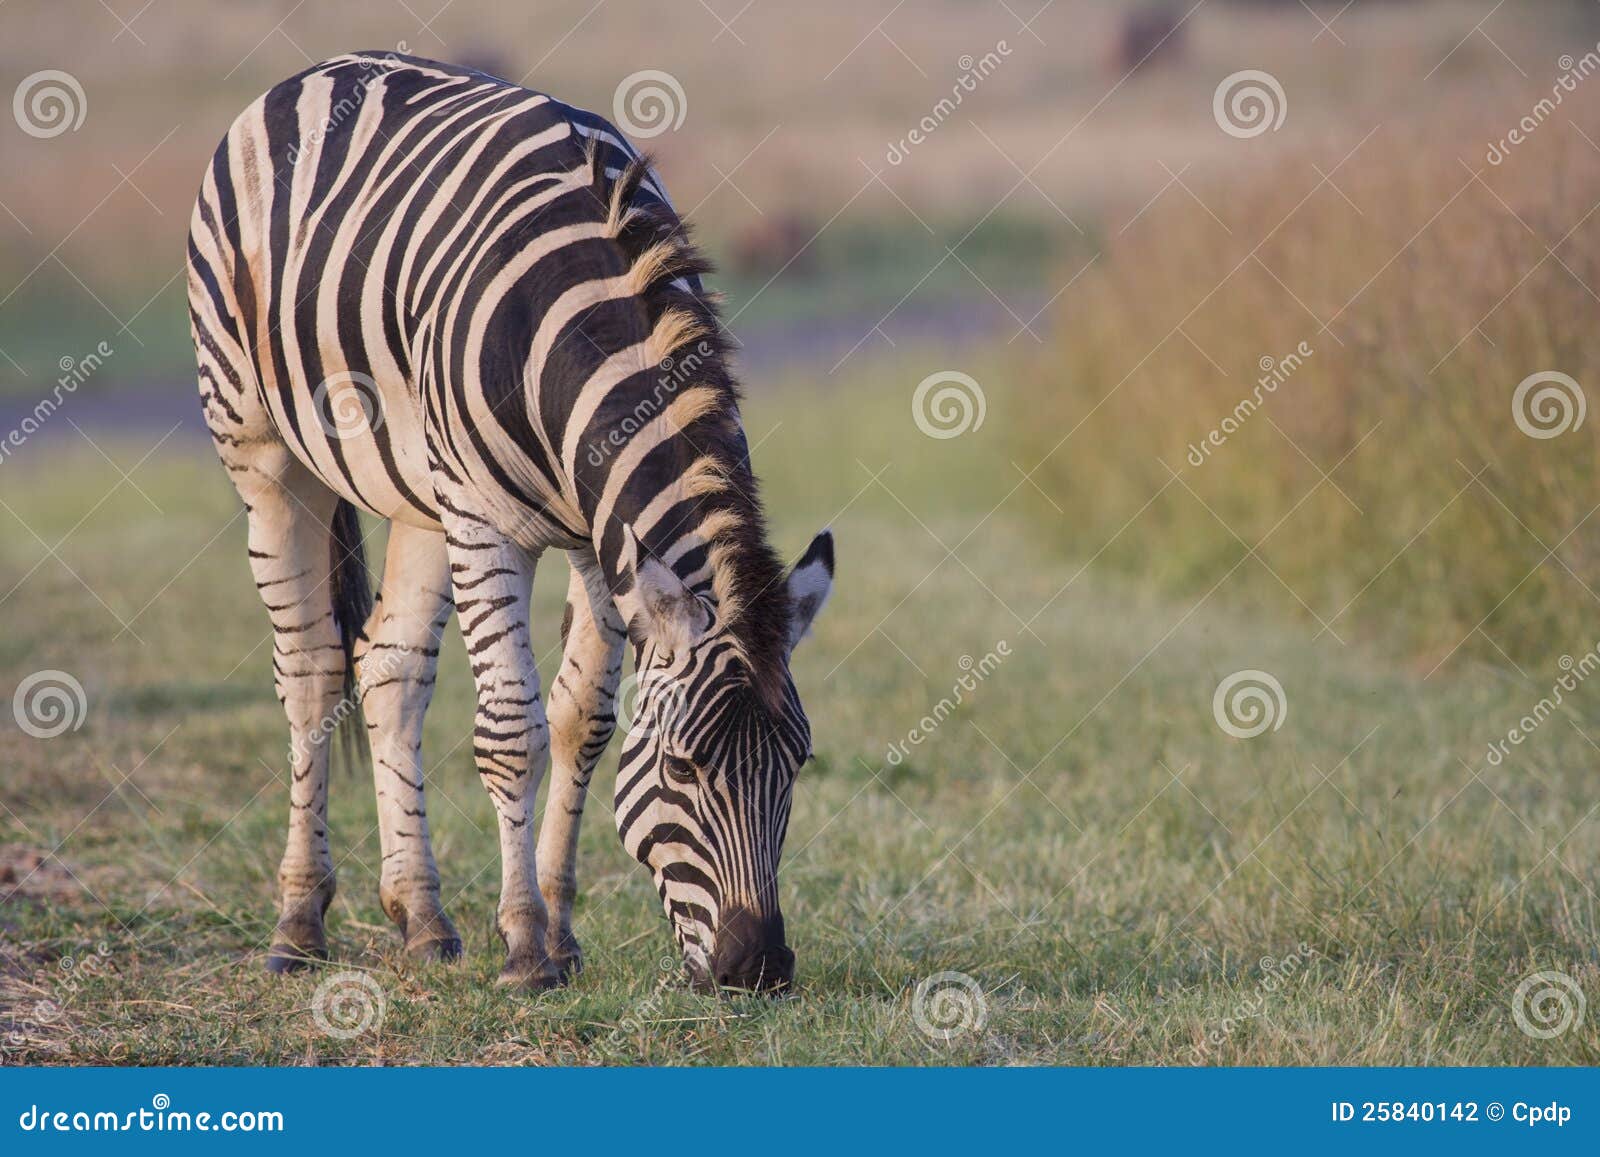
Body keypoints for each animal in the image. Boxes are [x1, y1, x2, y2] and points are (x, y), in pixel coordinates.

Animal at [184, 52, 838, 998]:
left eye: (798, 761)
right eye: (684, 765)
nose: (758, 968)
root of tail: (321, 70)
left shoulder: (604, 541)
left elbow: (583, 721)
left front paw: (559, 932)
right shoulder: (490, 524)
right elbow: (512, 730)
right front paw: (526, 946)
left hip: (422, 494)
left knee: (388, 669)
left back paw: (421, 918)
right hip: (262, 446)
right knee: (309, 672)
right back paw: (299, 923)